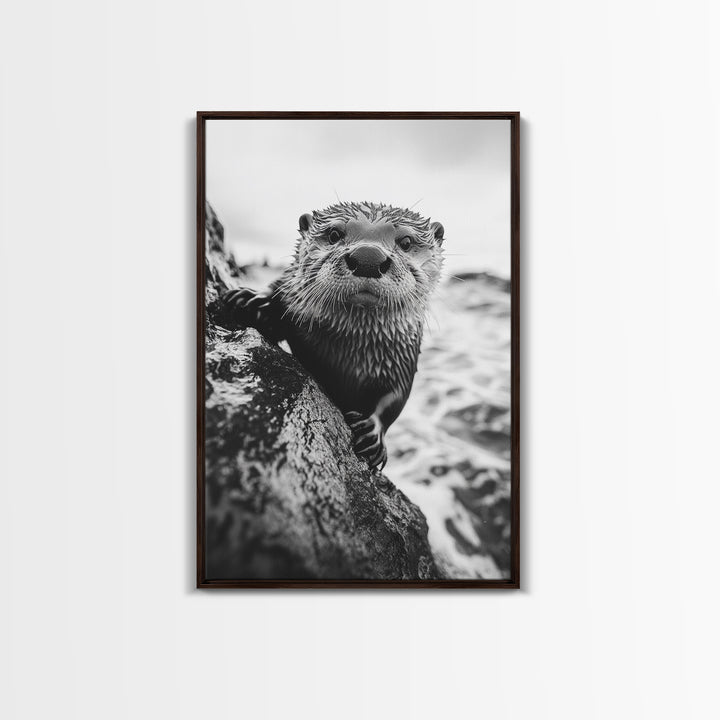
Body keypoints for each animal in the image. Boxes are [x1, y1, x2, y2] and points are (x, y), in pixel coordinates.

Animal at [221, 201, 445, 470]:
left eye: (406, 241)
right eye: (335, 234)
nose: (368, 258)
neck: (347, 351)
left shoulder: (402, 358)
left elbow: (394, 399)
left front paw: (372, 433)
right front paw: (253, 300)